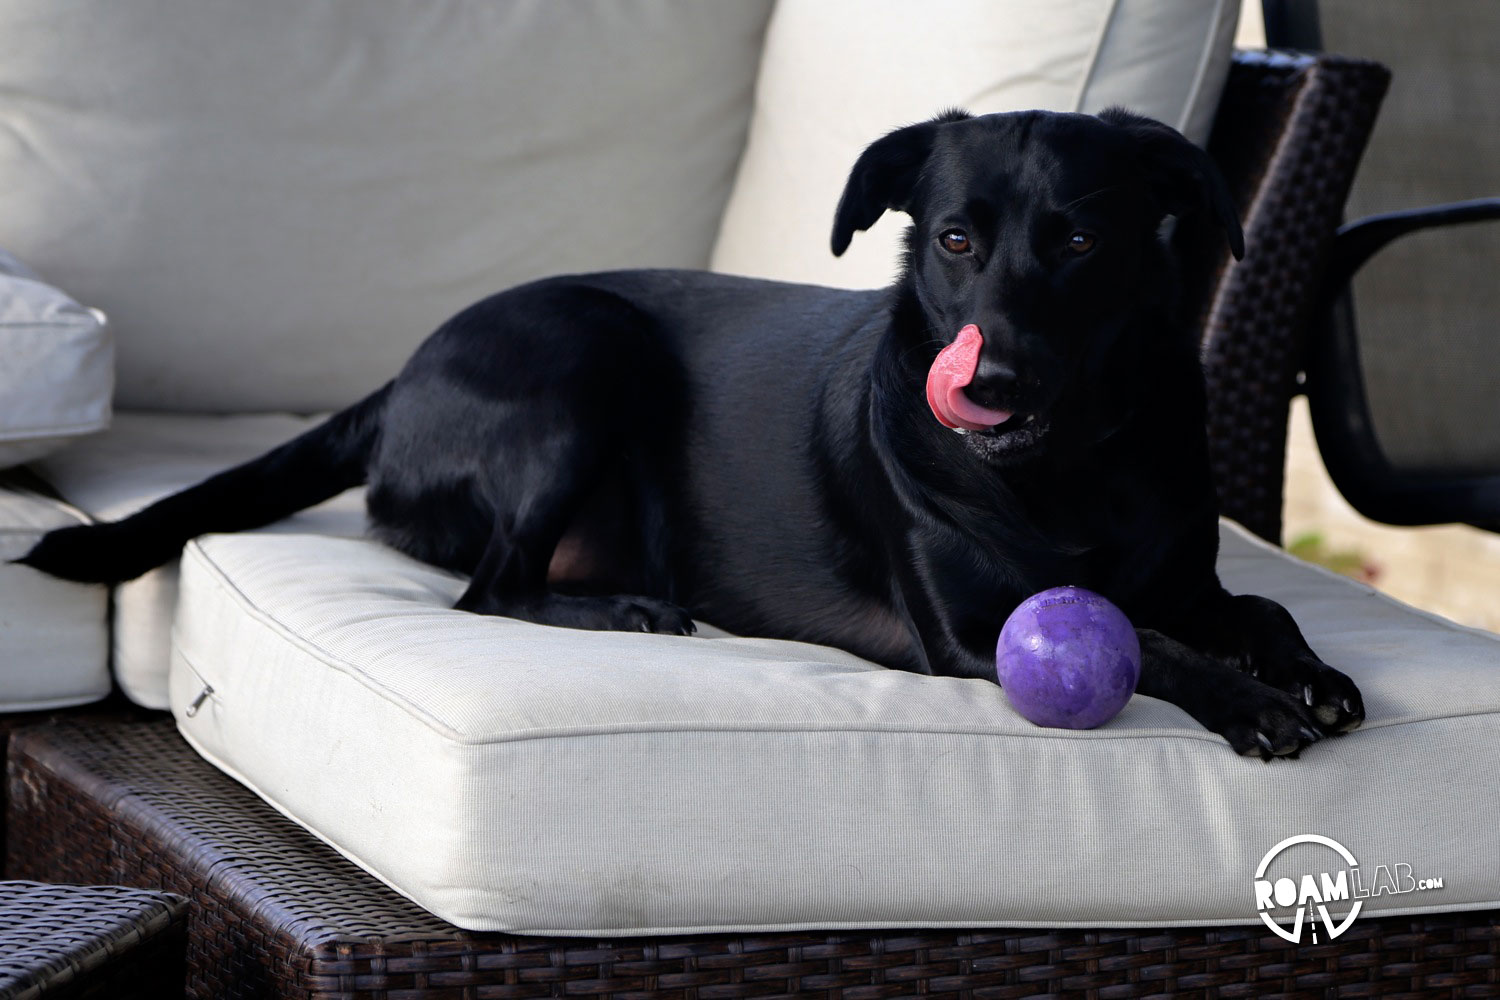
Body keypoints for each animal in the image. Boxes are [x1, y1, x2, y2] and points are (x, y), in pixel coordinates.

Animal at [23, 107, 1368, 758]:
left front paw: (1304, 668)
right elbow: (1151, 643)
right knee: (490, 587)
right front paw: (1251, 703)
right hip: (583, 351)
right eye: (954, 238)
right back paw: (625, 609)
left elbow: (1250, 606)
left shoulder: (1187, 575)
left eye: (1082, 239)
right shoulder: (974, 630)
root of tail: (397, 379)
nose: (987, 386)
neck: (1071, 464)